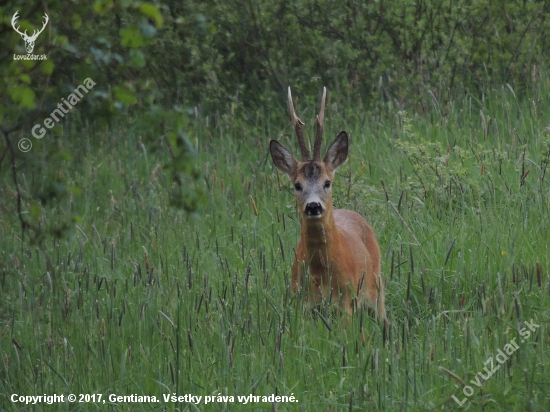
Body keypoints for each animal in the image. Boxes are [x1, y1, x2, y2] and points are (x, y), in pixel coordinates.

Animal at [272, 87, 388, 324]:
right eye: (297, 185)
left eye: (327, 182)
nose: (313, 206)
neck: (321, 273)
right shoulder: (302, 303)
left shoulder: (347, 301)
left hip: (377, 290)